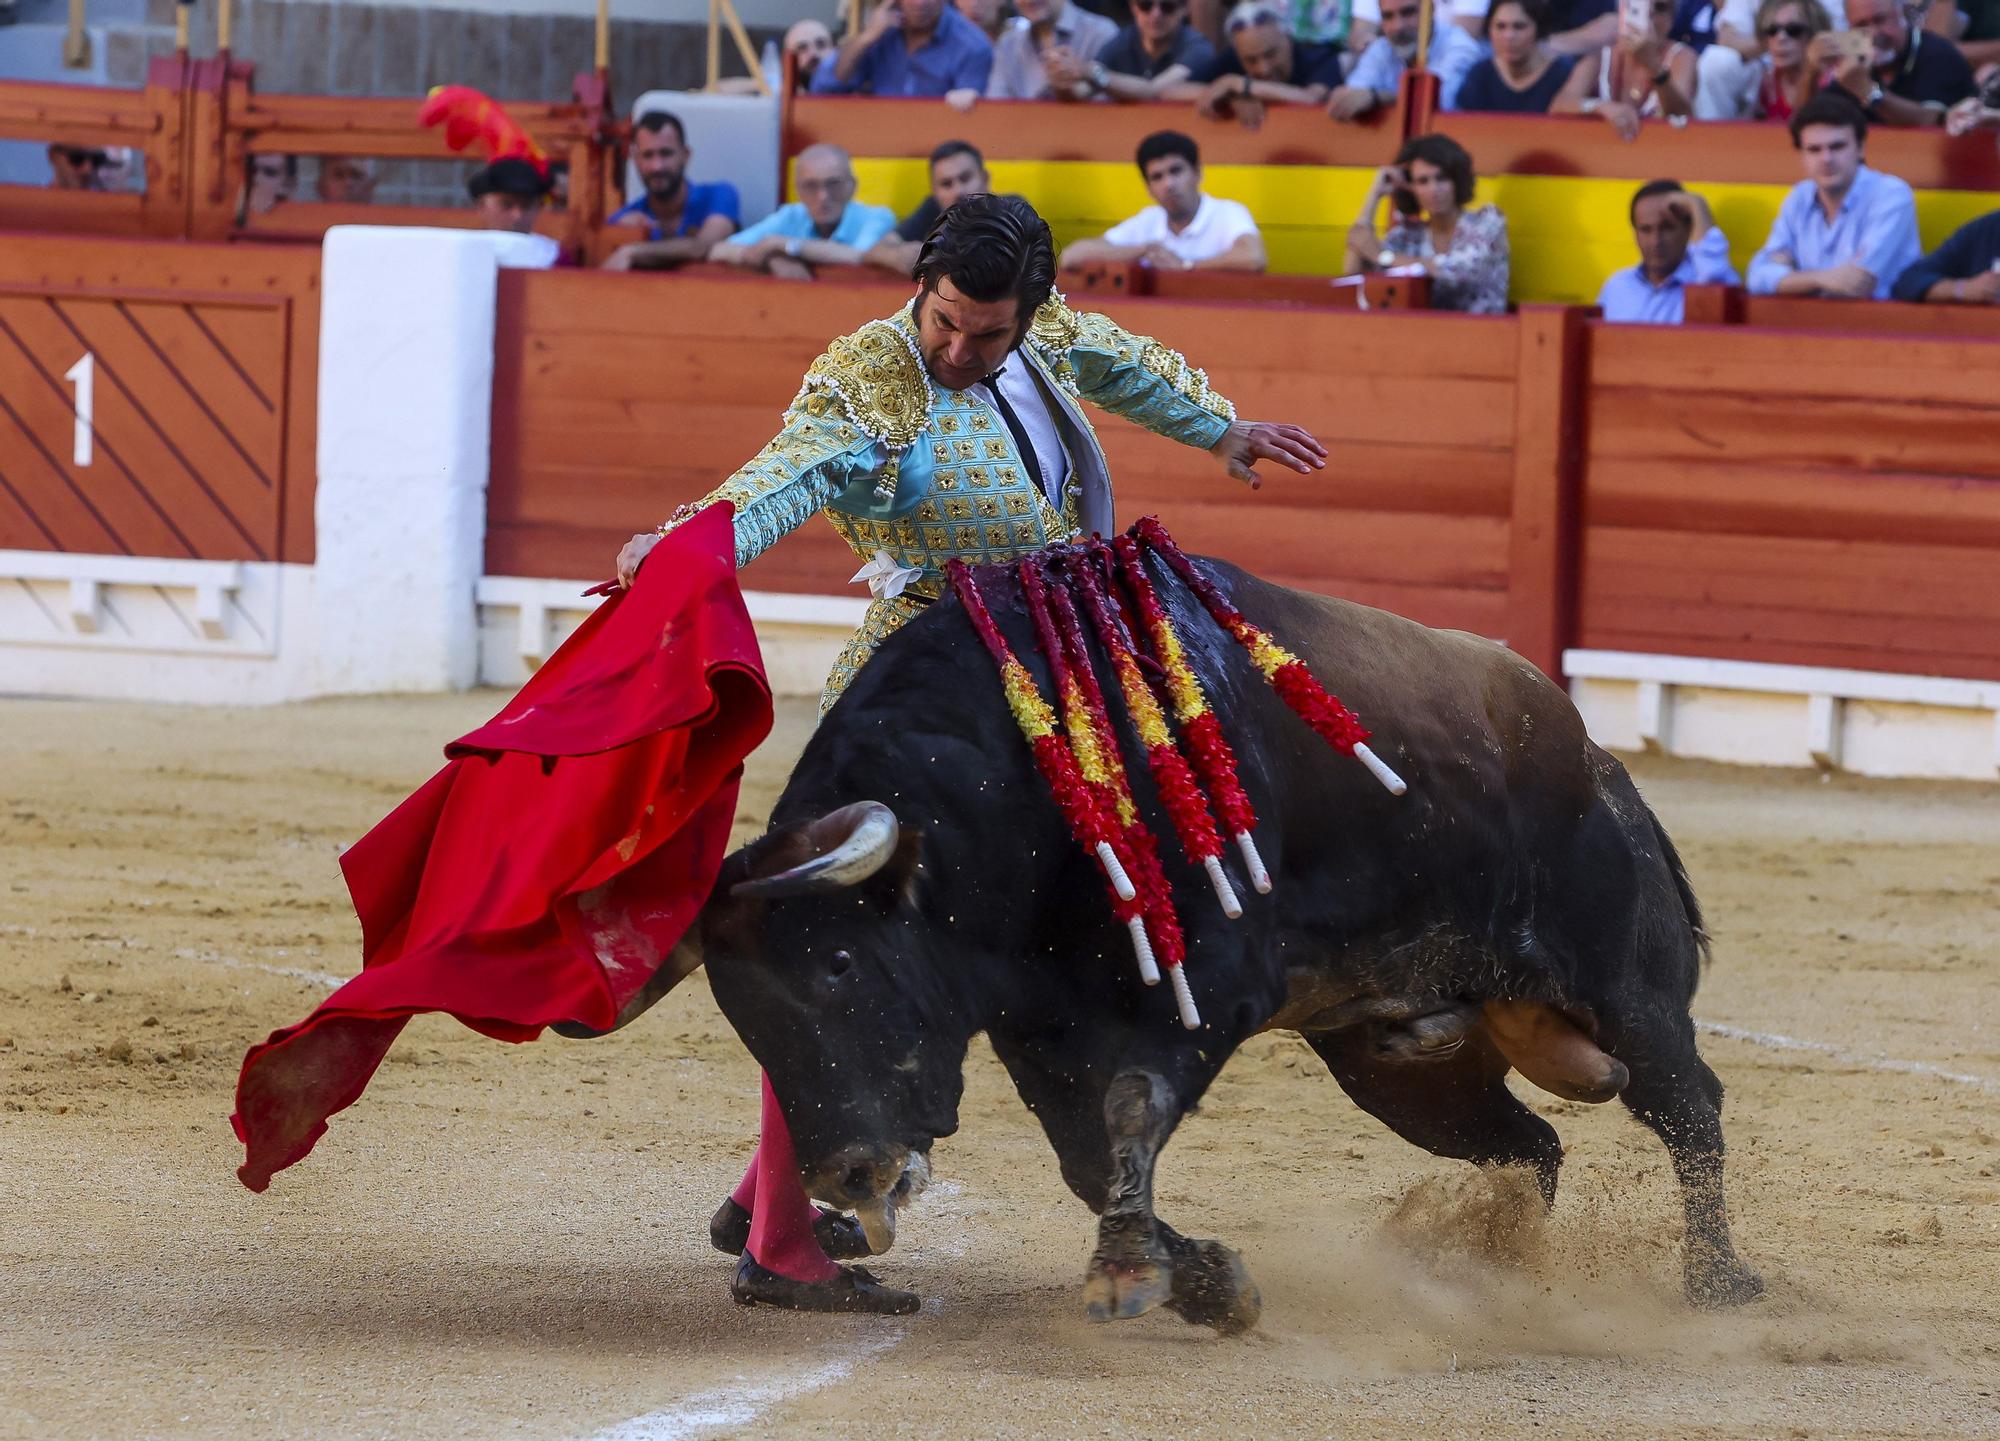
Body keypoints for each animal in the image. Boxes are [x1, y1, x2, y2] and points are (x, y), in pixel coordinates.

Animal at [660, 556, 1768, 1336]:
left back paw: (1719, 1282)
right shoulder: (1035, 1031)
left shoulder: (1210, 988)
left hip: (1627, 994)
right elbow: (1089, 1157)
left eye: (840, 964)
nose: (846, 1175)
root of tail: (1599, 761)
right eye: (742, 1015)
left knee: (1689, 1107)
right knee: (1528, 1144)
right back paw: (1496, 1269)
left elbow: (1129, 1112)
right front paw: (1209, 1286)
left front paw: (1127, 1273)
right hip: (1406, 1071)